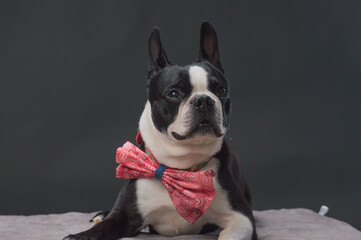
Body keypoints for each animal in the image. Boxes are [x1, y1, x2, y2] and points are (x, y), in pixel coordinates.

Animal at [64, 22, 256, 240]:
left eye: (221, 90)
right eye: (174, 94)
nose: (204, 100)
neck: (178, 167)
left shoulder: (242, 217)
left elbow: (231, 233)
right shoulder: (124, 216)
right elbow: (102, 228)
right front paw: (80, 235)